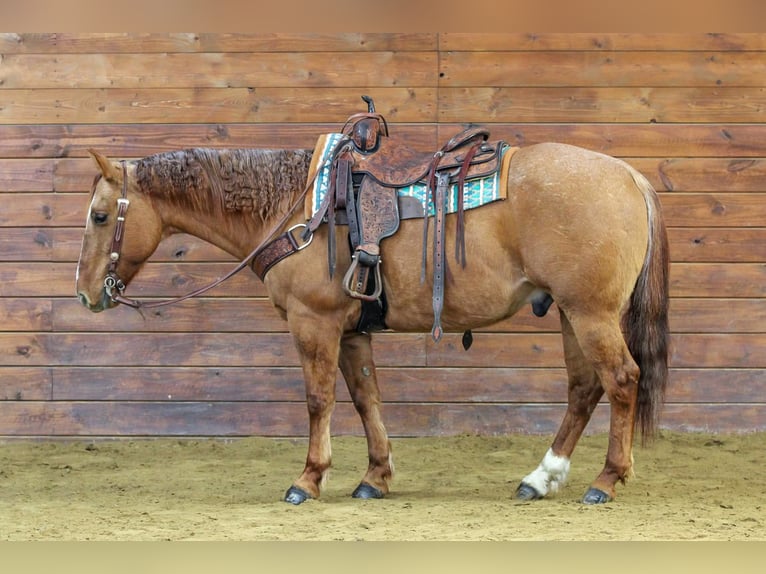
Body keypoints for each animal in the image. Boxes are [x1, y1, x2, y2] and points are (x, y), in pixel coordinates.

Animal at [75, 134, 669, 506]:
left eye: (101, 216)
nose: (85, 295)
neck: (296, 211)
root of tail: (629, 176)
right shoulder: (352, 331)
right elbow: (366, 399)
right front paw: (375, 478)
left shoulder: (313, 323)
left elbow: (319, 400)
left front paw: (308, 480)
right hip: (570, 312)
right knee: (583, 389)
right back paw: (541, 479)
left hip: (590, 313)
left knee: (621, 381)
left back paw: (605, 481)